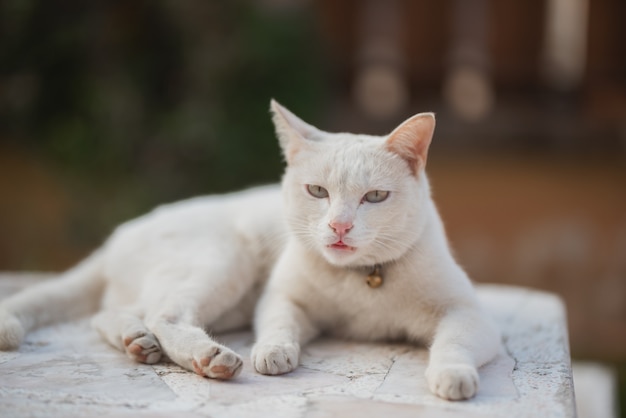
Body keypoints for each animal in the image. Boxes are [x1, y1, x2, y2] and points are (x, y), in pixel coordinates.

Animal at [0, 99, 498, 400]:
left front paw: (452, 376)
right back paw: (208, 357)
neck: (364, 280)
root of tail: (119, 234)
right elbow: (278, 324)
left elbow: (453, 341)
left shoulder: (466, 311)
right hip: (223, 262)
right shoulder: (283, 296)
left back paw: (138, 343)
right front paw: (273, 353)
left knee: (114, 313)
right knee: (164, 314)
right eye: (317, 191)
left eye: (374, 197)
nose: (338, 225)